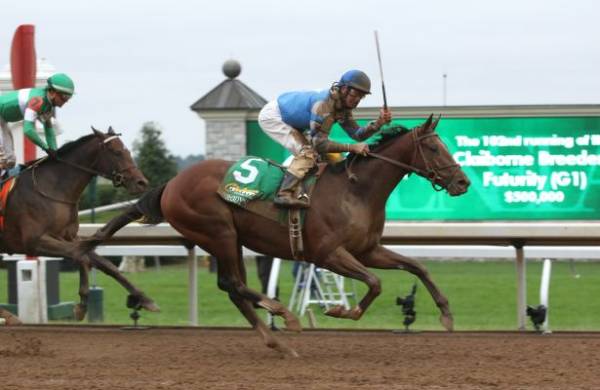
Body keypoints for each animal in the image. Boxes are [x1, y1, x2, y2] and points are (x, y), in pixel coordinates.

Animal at [0, 128, 158, 326]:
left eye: (128, 151)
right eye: (116, 152)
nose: (141, 182)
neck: (52, 188)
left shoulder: (68, 237)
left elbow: (105, 264)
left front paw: (144, 299)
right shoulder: (34, 241)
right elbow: (80, 256)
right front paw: (82, 305)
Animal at [83, 115, 468, 356]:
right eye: (433, 148)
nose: (463, 182)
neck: (356, 190)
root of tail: (171, 184)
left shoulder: (368, 249)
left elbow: (417, 267)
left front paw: (447, 314)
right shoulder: (328, 254)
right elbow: (375, 283)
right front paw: (341, 311)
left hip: (231, 239)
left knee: (233, 287)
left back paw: (277, 341)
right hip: (218, 232)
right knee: (233, 283)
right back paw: (284, 314)